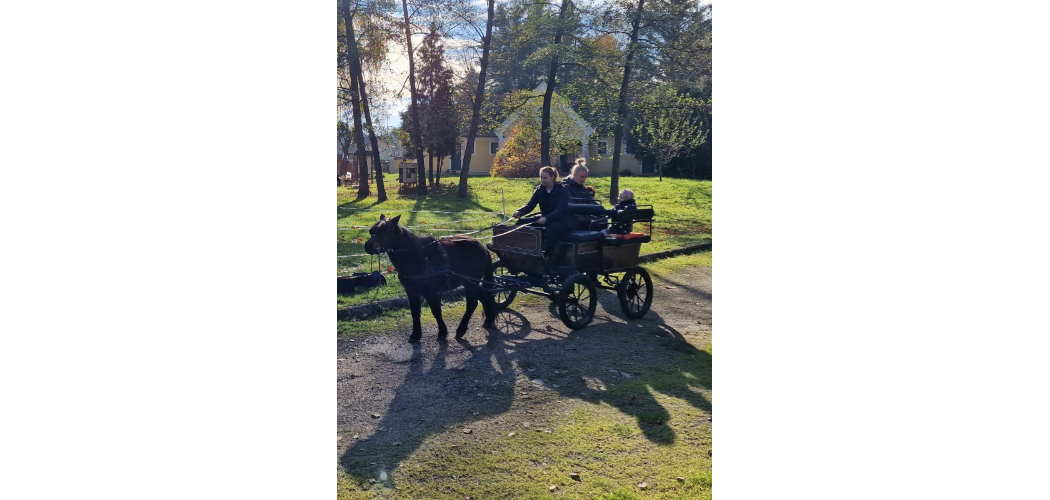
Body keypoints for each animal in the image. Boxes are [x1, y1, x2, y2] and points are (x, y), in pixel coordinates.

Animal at [363, 214, 497, 343]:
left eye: (385, 231)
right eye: (371, 231)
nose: (367, 246)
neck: (417, 256)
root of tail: (483, 248)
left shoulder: (430, 291)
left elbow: (436, 311)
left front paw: (442, 332)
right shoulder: (411, 291)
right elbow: (415, 312)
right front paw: (416, 334)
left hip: (470, 282)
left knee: (472, 303)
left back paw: (461, 329)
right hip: (469, 282)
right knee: (485, 295)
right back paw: (489, 319)